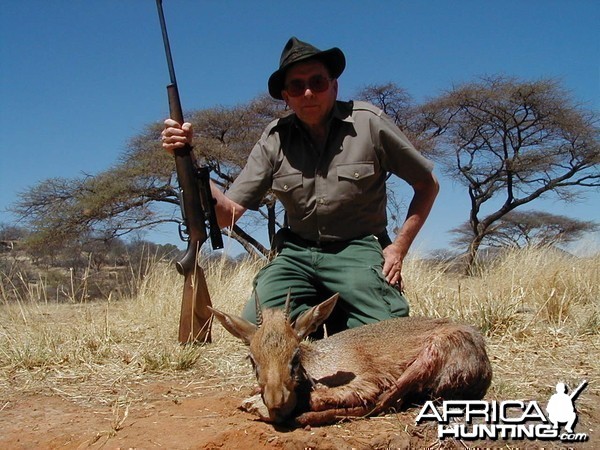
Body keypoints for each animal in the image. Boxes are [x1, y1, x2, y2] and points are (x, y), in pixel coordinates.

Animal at [210, 292, 492, 426]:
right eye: (252, 360)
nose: (277, 401)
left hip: (425, 359)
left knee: (384, 403)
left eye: (295, 356)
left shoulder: (367, 382)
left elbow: (319, 398)